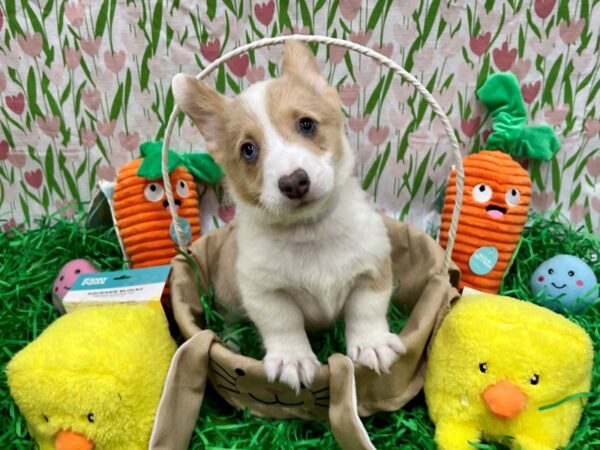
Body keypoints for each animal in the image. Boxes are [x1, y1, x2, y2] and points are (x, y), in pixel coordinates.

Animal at [173, 40, 408, 390]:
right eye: (248, 150)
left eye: (306, 124)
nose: (294, 182)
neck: (309, 231)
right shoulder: (264, 292)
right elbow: (284, 323)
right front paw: (293, 360)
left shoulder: (373, 268)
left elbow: (366, 309)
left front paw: (372, 343)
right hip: (228, 297)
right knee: (230, 321)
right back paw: (232, 342)